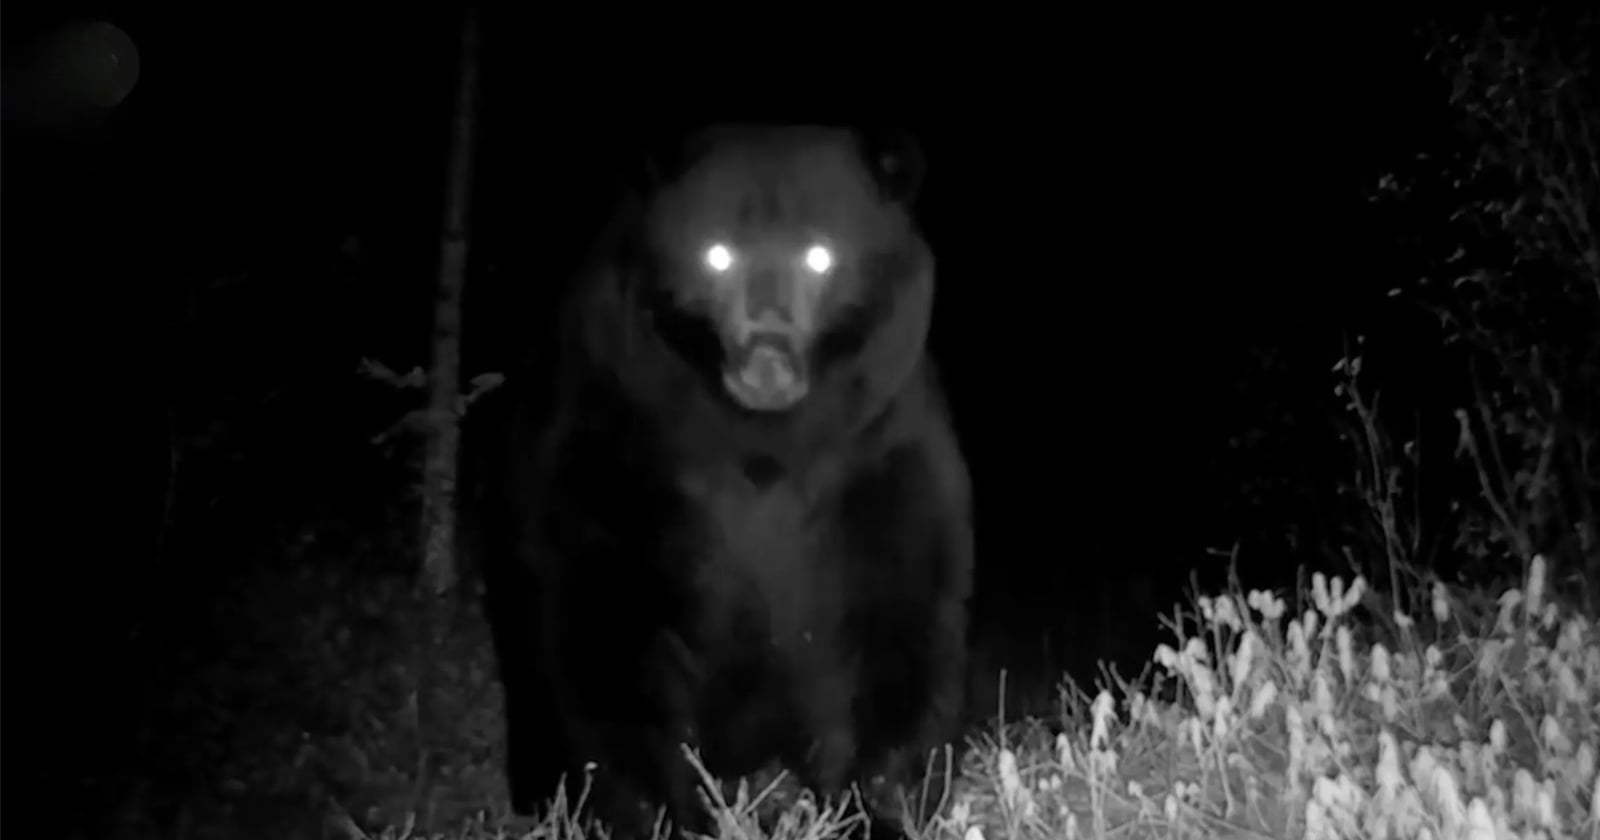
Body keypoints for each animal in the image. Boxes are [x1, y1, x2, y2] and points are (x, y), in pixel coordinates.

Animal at [464, 123, 975, 839]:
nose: (767, 359)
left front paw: (875, 805)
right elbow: (600, 625)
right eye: (716, 255)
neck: (760, 443)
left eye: (821, 255)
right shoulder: (615, 434)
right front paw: (664, 814)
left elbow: (898, 614)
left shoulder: (878, 444)